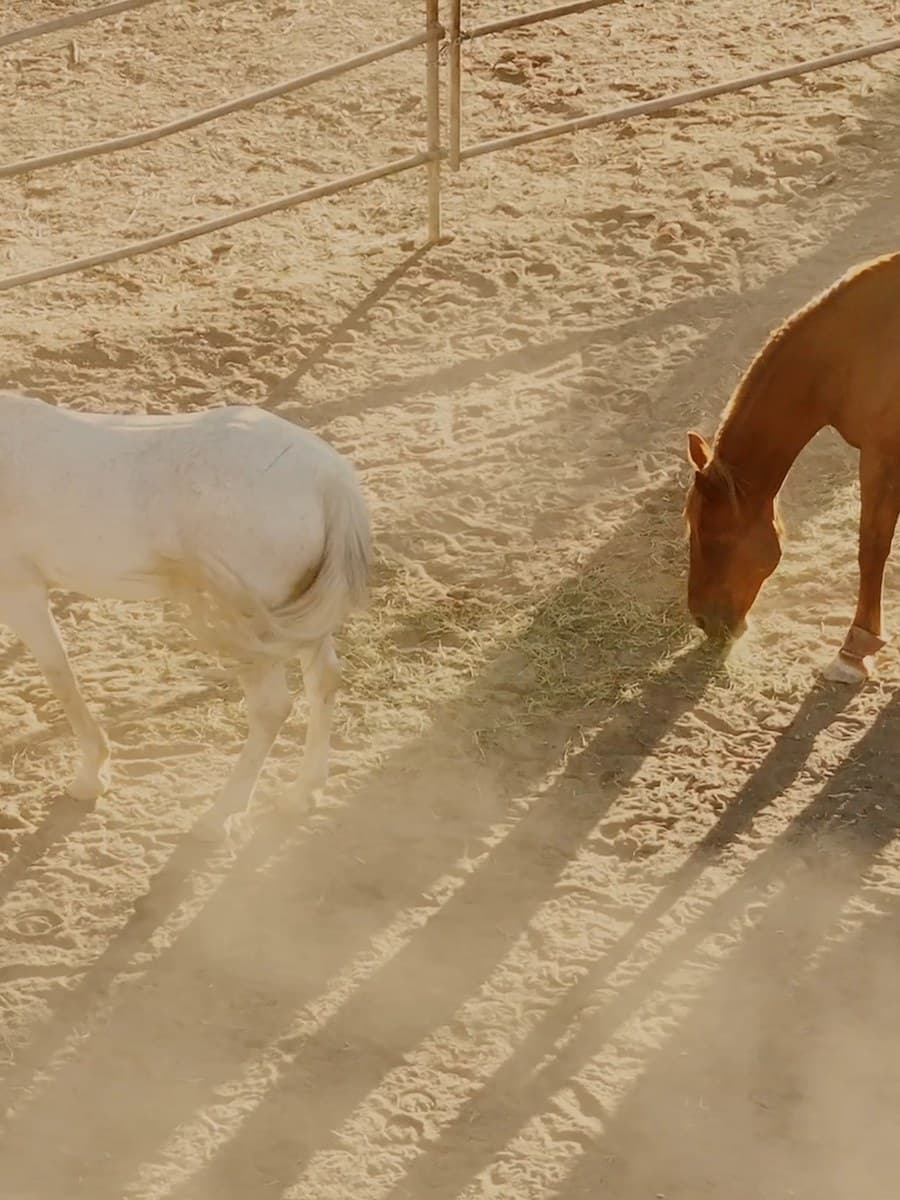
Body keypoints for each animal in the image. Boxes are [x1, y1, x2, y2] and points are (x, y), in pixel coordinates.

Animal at [0, 391, 371, 837]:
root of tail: (328, 478)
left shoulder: (20, 592)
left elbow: (61, 679)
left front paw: (91, 776)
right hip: (298, 622)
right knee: (324, 679)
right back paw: (301, 794)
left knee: (271, 708)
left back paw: (220, 814)